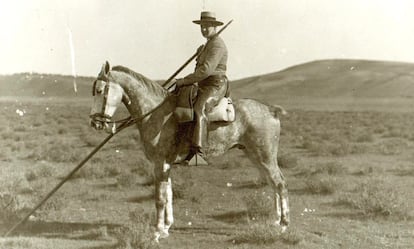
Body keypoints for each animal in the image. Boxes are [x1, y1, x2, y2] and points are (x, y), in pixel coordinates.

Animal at [89, 61, 290, 240]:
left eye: (99, 90)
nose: (95, 123)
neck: (156, 113)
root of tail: (271, 109)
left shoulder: (160, 163)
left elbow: (160, 198)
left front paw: (156, 232)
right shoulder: (166, 164)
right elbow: (169, 194)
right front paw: (166, 228)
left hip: (265, 156)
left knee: (280, 183)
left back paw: (283, 225)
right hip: (254, 155)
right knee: (273, 183)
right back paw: (275, 220)